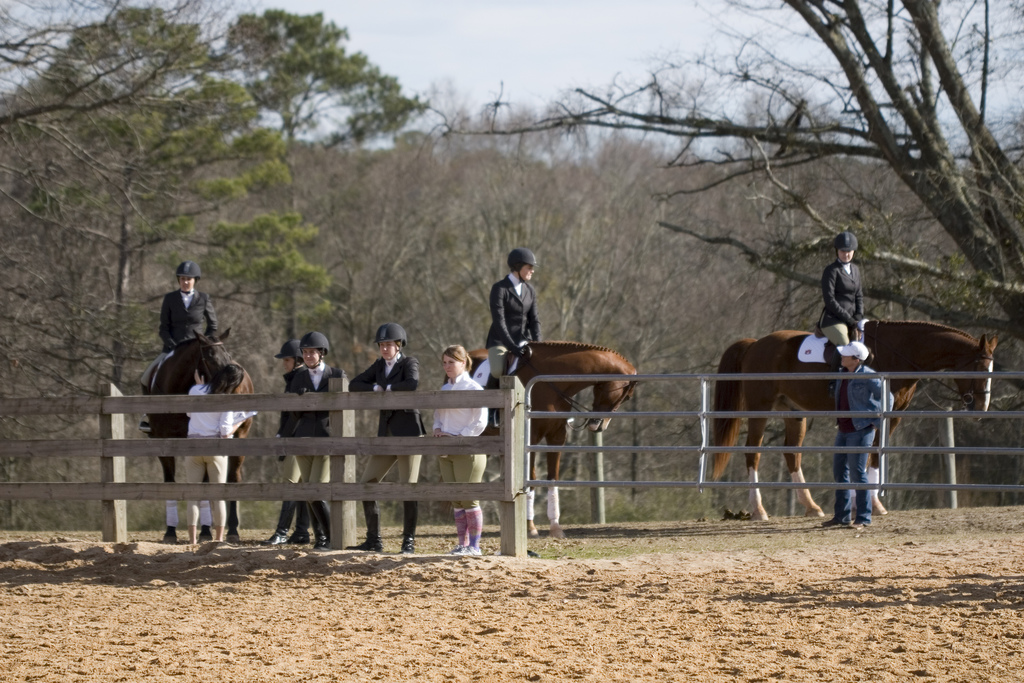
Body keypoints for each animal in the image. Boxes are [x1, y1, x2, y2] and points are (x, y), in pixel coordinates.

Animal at [146, 330, 255, 543]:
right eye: (210, 356)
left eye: (227, 354)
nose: (233, 385)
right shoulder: (162, 442)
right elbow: (170, 483)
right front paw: (170, 532)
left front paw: (205, 532)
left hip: (240, 437)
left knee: (233, 478)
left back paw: (232, 530)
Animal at [470, 341, 637, 538]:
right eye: (626, 396)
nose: (598, 426)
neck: (550, 382)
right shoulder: (531, 438)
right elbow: (531, 479)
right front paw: (530, 527)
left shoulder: (557, 437)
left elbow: (552, 479)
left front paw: (555, 528)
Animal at [713, 320, 997, 520]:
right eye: (979, 369)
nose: (980, 407)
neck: (897, 352)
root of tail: (755, 344)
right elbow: (871, 452)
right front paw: (874, 504)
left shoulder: (893, 415)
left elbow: (874, 452)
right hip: (759, 410)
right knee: (753, 452)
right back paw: (759, 510)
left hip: (794, 413)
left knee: (792, 453)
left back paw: (811, 506)